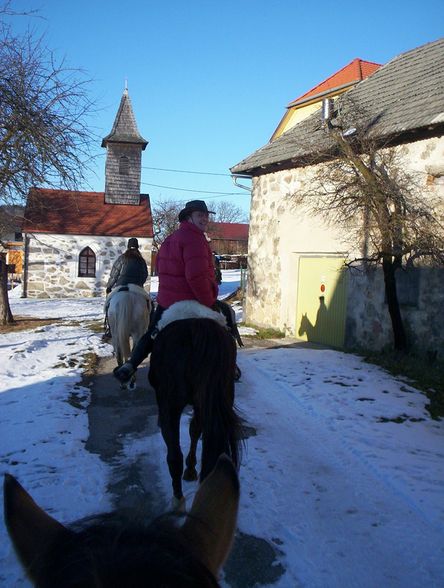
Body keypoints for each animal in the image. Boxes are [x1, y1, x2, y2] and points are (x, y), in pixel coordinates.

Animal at [149, 320, 241, 508]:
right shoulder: (201, 404)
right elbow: (195, 430)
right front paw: (191, 469)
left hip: (170, 405)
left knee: (174, 454)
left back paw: (178, 500)